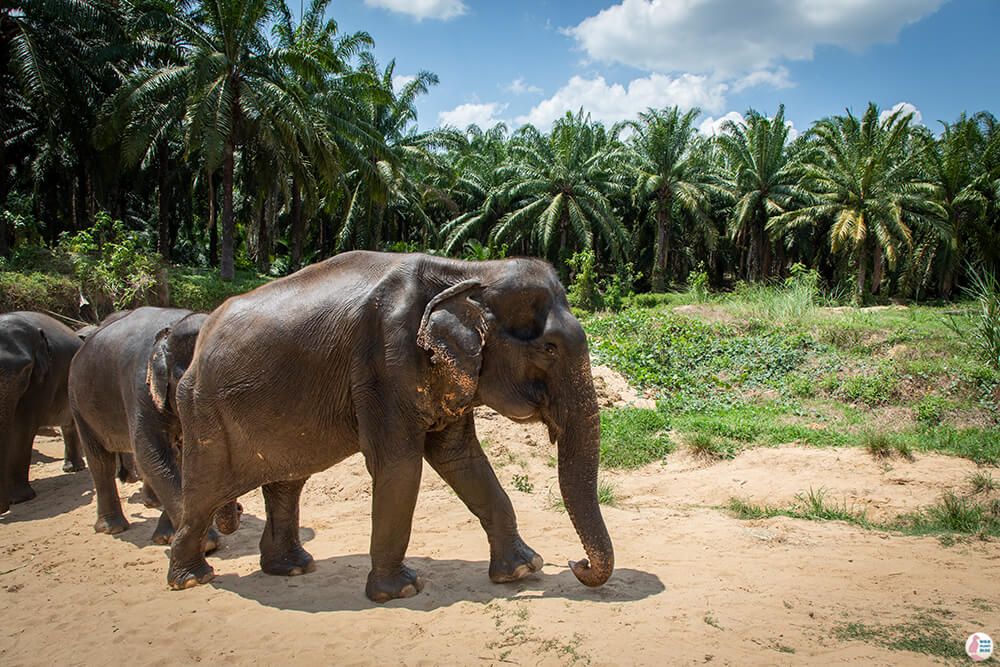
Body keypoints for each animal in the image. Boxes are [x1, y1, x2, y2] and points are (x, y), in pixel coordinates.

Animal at [0, 310, 87, 516]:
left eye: (25, 369)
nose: (3, 509)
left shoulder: (44, 378)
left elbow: (22, 426)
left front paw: (20, 498)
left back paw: (74, 468)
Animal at [68, 308, 240, 548]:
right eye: (186, 383)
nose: (240, 510)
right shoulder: (140, 387)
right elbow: (151, 453)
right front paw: (206, 544)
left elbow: (181, 460)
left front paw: (167, 537)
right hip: (78, 403)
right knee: (99, 460)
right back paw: (112, 527)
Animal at [168, 252, 612, 604]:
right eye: (549, 348)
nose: (575, 562)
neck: (469, 272)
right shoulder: (385, 362)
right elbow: (399, 466)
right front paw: (401, 591)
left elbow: (461, 458)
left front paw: (523, 570)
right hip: (204, 415)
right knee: (204, 493)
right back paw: (191, 580)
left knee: (286, 483)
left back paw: (291, 568)